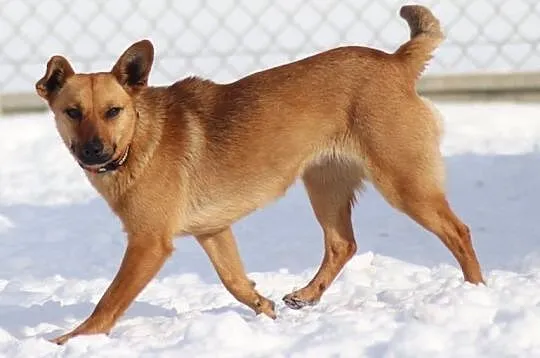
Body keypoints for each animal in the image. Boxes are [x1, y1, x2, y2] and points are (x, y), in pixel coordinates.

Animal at [35, 4, 484, 344]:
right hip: (324, 185)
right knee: (343, 244)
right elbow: (234, 280)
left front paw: (71, 341)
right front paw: (263, 308)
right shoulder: (213, 230)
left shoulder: (148, 243)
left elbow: (109, 301)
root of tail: (396, 62)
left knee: (458, 231)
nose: (94, 151)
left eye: (113, 111)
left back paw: (476, 292)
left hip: (404, 183)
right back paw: (307, 295)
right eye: (72, 112)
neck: (138, 139)